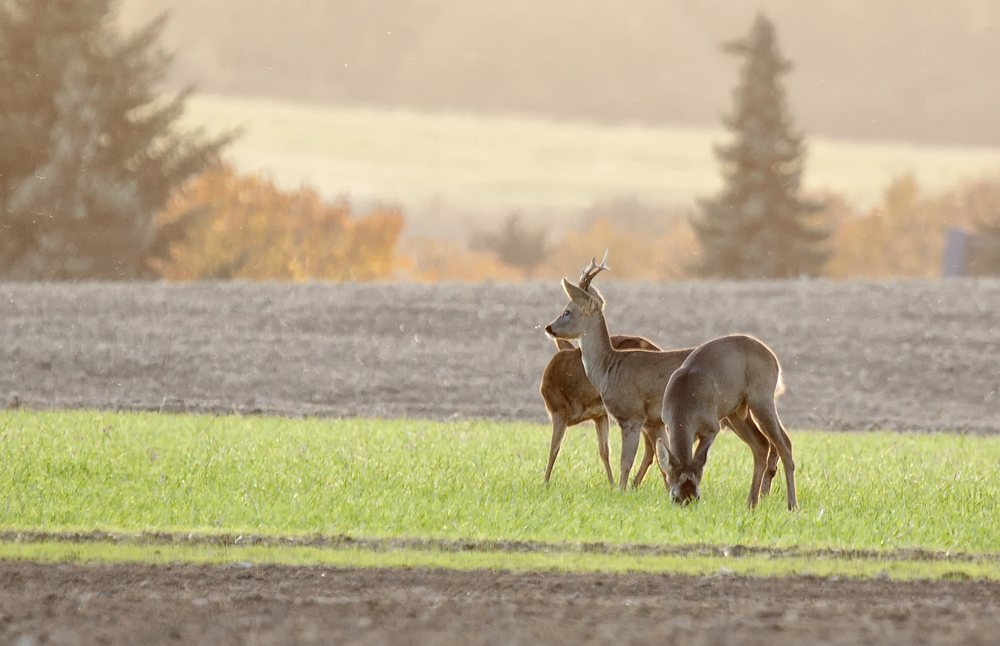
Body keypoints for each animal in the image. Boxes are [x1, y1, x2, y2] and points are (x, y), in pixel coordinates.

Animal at [540, 334, 664, 486]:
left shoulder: (559, 409)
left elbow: (554, 448)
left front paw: (545, 482)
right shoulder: (599, 415)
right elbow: (604, 450)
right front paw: (612, 483)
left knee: (650, 447)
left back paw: (634, 483)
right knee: (651, 446)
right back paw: (634, 483)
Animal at [656, 334, 796, 512]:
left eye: (698, 497)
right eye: (674, 497)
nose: (687, 507)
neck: (684, 403)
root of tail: (772, 357)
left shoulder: (712, 426)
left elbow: (700, 459)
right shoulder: (669, 425)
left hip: (761, 398)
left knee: (784, 443)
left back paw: (792, 505)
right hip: (736, 413)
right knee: (761, 444)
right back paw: (752, 504)